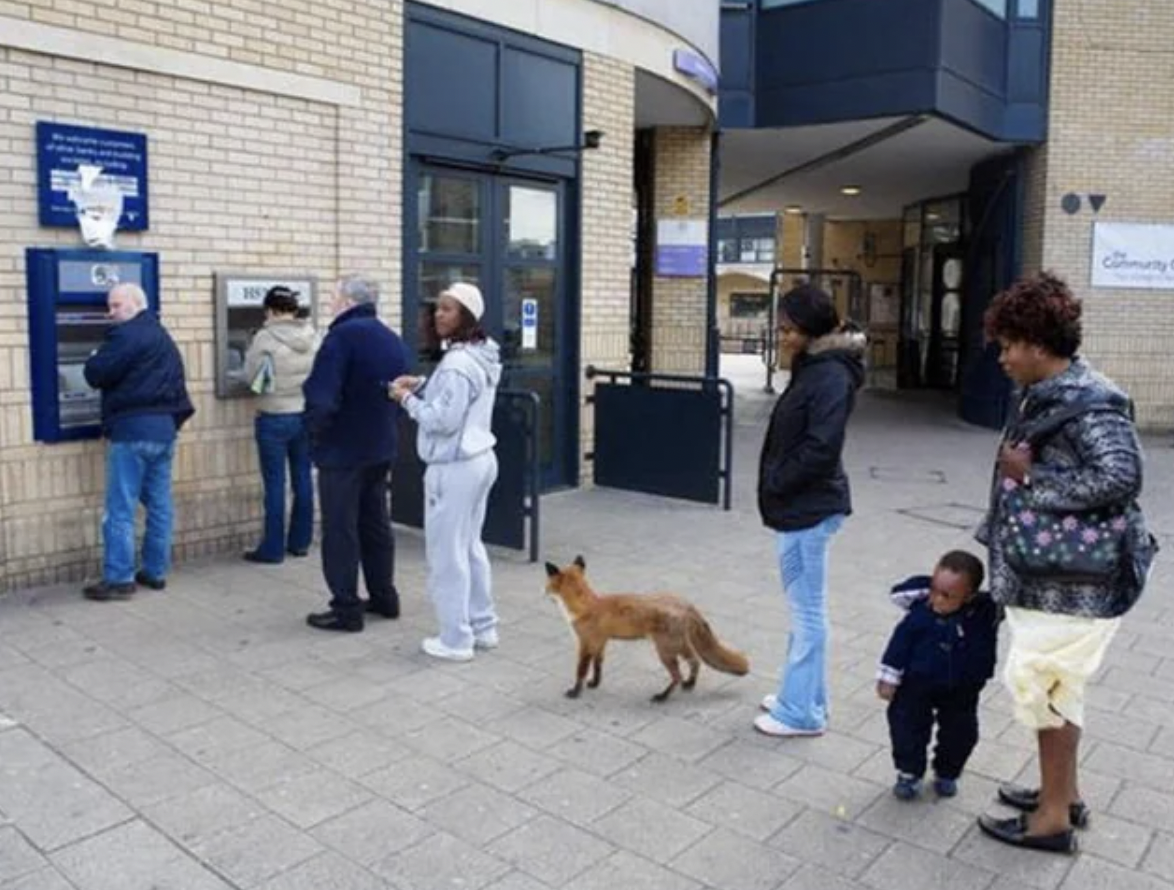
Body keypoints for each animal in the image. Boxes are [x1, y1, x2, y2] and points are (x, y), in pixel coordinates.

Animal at [542, 558, 746, 704]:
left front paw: (576, 691)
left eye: (547, 587)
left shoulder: (585, 644)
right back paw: (690, 684)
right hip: (678, 646)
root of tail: (686, 604)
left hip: (665, 651)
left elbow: (581, 671)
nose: (543, 594)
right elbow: (598, 666)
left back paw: (663, 696)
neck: (586, 606)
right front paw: (594, 683)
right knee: (695, 661)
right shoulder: (600, 642)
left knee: (678, 675)